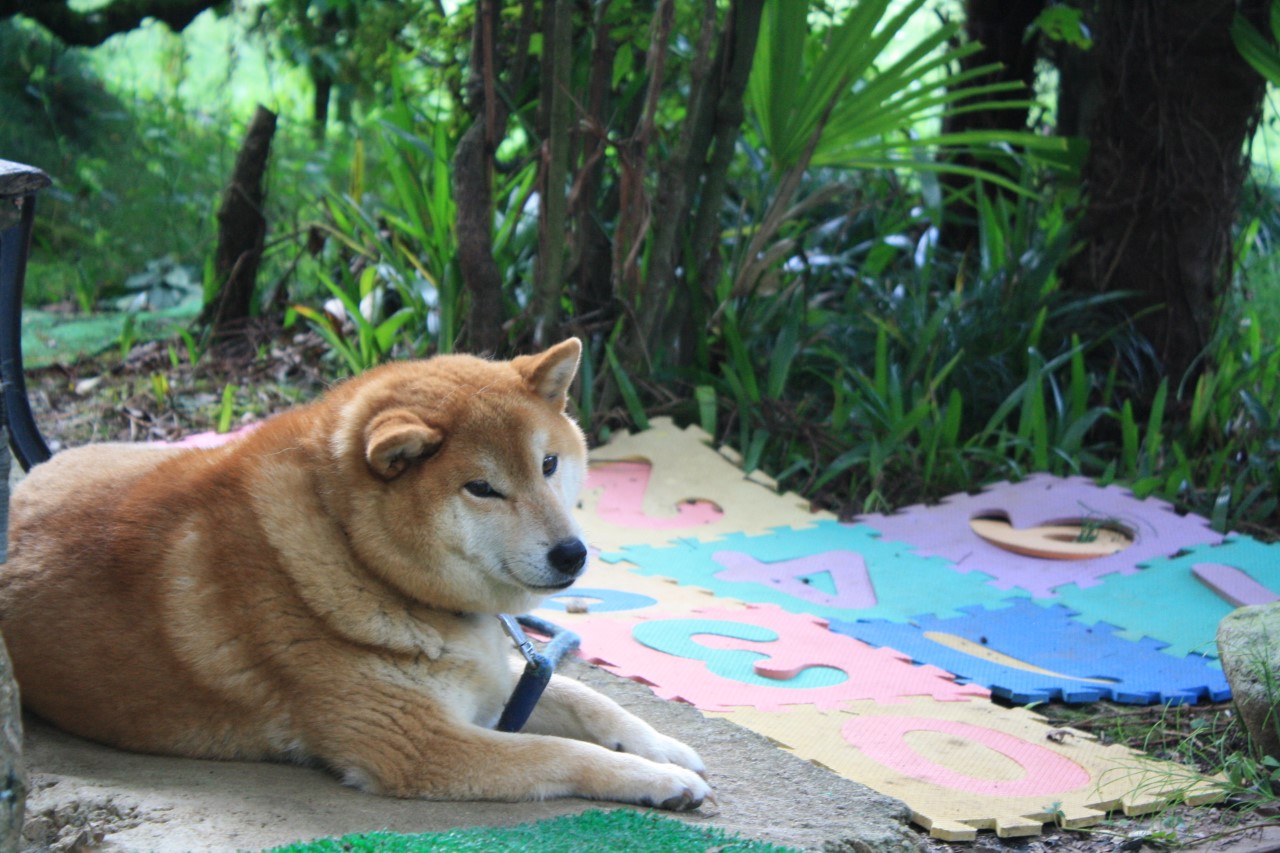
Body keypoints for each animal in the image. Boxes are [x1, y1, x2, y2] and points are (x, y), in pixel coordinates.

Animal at [0, 335, 711, 809]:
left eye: (549, 465)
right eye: (482, 488)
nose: (573, 553)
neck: (360, 555)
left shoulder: (490, 678)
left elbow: (590, 701)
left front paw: (661, 748)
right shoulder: (417, 746)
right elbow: (559, 751)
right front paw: (659, 781)